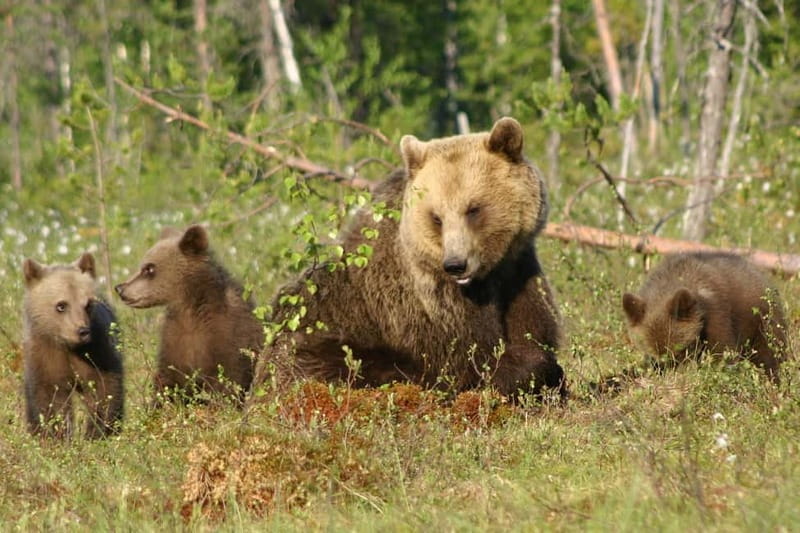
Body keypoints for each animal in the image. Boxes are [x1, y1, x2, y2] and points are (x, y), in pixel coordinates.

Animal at [22, 252, 124, 439]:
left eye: (88, 304)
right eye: (61, 305)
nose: (82, 331)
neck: (70, 346)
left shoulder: (98, 351)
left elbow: (103, 389)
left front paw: (97, 432)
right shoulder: (45, 353)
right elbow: (51, 396)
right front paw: (56, 434)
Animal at [115, 224, 262, 404]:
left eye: (149, 268)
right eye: (143, 265)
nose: (120, 288)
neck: (191, 308)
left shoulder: (229, 334)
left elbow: (229, 377)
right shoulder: (175, 337)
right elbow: (169, 378)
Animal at [262, 117, 566, 398]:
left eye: (474, 209)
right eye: (436, 217)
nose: (456, 264)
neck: (488, 274)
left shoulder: (519, 273)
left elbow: (536, 329)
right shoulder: (428, 304)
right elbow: (469, 359)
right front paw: (525, 371)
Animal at [622, 252, 791, 381]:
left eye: (679, 349)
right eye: (656, 356)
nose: (676, 374)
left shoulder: (716, 315)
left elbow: (723, 352)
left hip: (762, 322)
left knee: (769, 353)